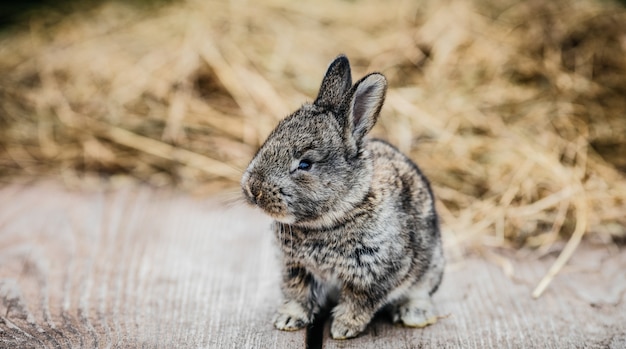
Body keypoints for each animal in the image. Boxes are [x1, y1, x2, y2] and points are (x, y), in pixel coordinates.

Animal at [240, 55, 444, 340]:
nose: (253, 189)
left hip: (430, 268)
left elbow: (358, 303)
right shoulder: (295, 269)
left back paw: (414, 314)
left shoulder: (374, 275)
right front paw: (288, 319)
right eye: (270, 138)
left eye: (305, 164)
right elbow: (297, 295)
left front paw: (343, 329)